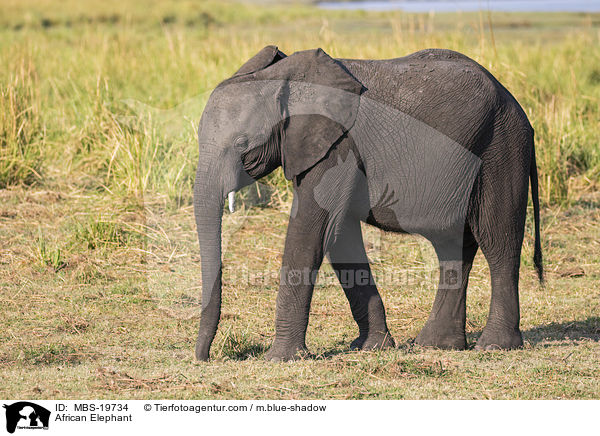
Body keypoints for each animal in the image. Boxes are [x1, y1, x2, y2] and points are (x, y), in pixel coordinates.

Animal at [193, 46, 544, 362]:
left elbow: (312, 231)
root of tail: (519, 108)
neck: (287, 78)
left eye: (242, 144)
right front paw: (373, 347)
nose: (206, 358)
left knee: (498, 240)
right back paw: (436, 345)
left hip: (501, 148)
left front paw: (279, 359)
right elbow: (341, 237)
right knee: (452, 244)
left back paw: (494, 346)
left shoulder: (339, 147)